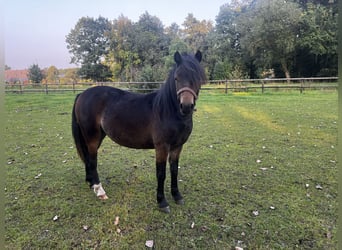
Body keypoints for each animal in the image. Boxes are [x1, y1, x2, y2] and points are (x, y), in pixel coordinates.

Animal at [71, 51, 206, 213]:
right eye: (176, 78)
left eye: (197, 78)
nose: (186, 106)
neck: (167, 110)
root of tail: (82, 94)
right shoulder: (162, 147)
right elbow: (161, 174)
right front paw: (162, 202)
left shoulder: (177, 146)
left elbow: (174, 170)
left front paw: (177, 196)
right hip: (92, 137)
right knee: (92, 160)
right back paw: (99, 190)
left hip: (97, 136)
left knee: (88, 158)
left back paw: (91, 184)